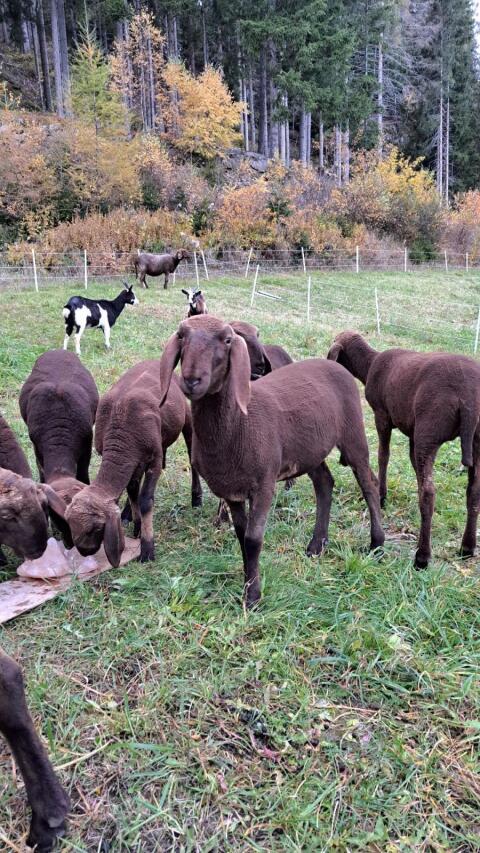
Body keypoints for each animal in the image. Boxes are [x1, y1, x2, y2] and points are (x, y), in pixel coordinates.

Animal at [19, 350, 99, 544]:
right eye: (57, 520)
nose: (70, 544)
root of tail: (57, 350)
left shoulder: (87, 444)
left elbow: (83, 474)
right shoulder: (37, 448)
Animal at [65, 360, 202, 566]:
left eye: (94, 529)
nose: (84, 552)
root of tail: (155, 361)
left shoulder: (154, 461)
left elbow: (145, 500)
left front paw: (147, 549)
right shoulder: (132, 461)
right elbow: (132, 492)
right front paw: (137, 527)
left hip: (185, 416)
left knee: (191, 456)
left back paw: (196, 498)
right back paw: (127, 513)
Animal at [159, 316, 384, 608]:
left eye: (228, 340)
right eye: (181, 336)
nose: (192, 380)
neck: (239, 425)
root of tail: (334, 364)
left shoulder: (264, 484)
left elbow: (253, 539)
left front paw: (253, 597)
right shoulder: (232, 491)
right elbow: (241, 536)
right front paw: (247, 583)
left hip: (353, 434)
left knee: (368, 484)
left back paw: (377, 544)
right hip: (308, 450)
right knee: (325, 483)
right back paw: (316, 545)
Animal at [327, 330, 480, 568]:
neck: (369, 364)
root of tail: (469, 394)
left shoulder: (382, 415)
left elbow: (383, 455)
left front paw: (382, 496)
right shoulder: (412, 433)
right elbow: (412, 465)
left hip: (429, 430)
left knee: (429, 493)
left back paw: (422, 557)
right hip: (473, 440)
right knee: (474, 491)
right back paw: (467, 547)